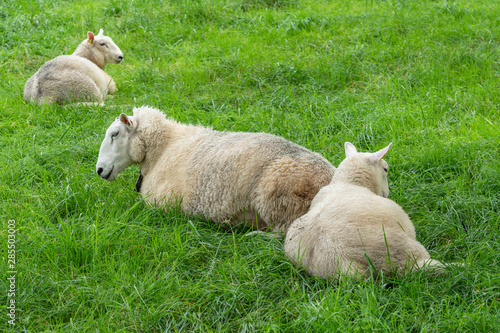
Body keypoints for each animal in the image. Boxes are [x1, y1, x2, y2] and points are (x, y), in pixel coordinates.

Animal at [94, 105, 336, 231]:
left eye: (115, 134)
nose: (99, 170)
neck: (163, 148)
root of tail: (331, 179)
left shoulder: (161, 203)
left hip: (278, 199)